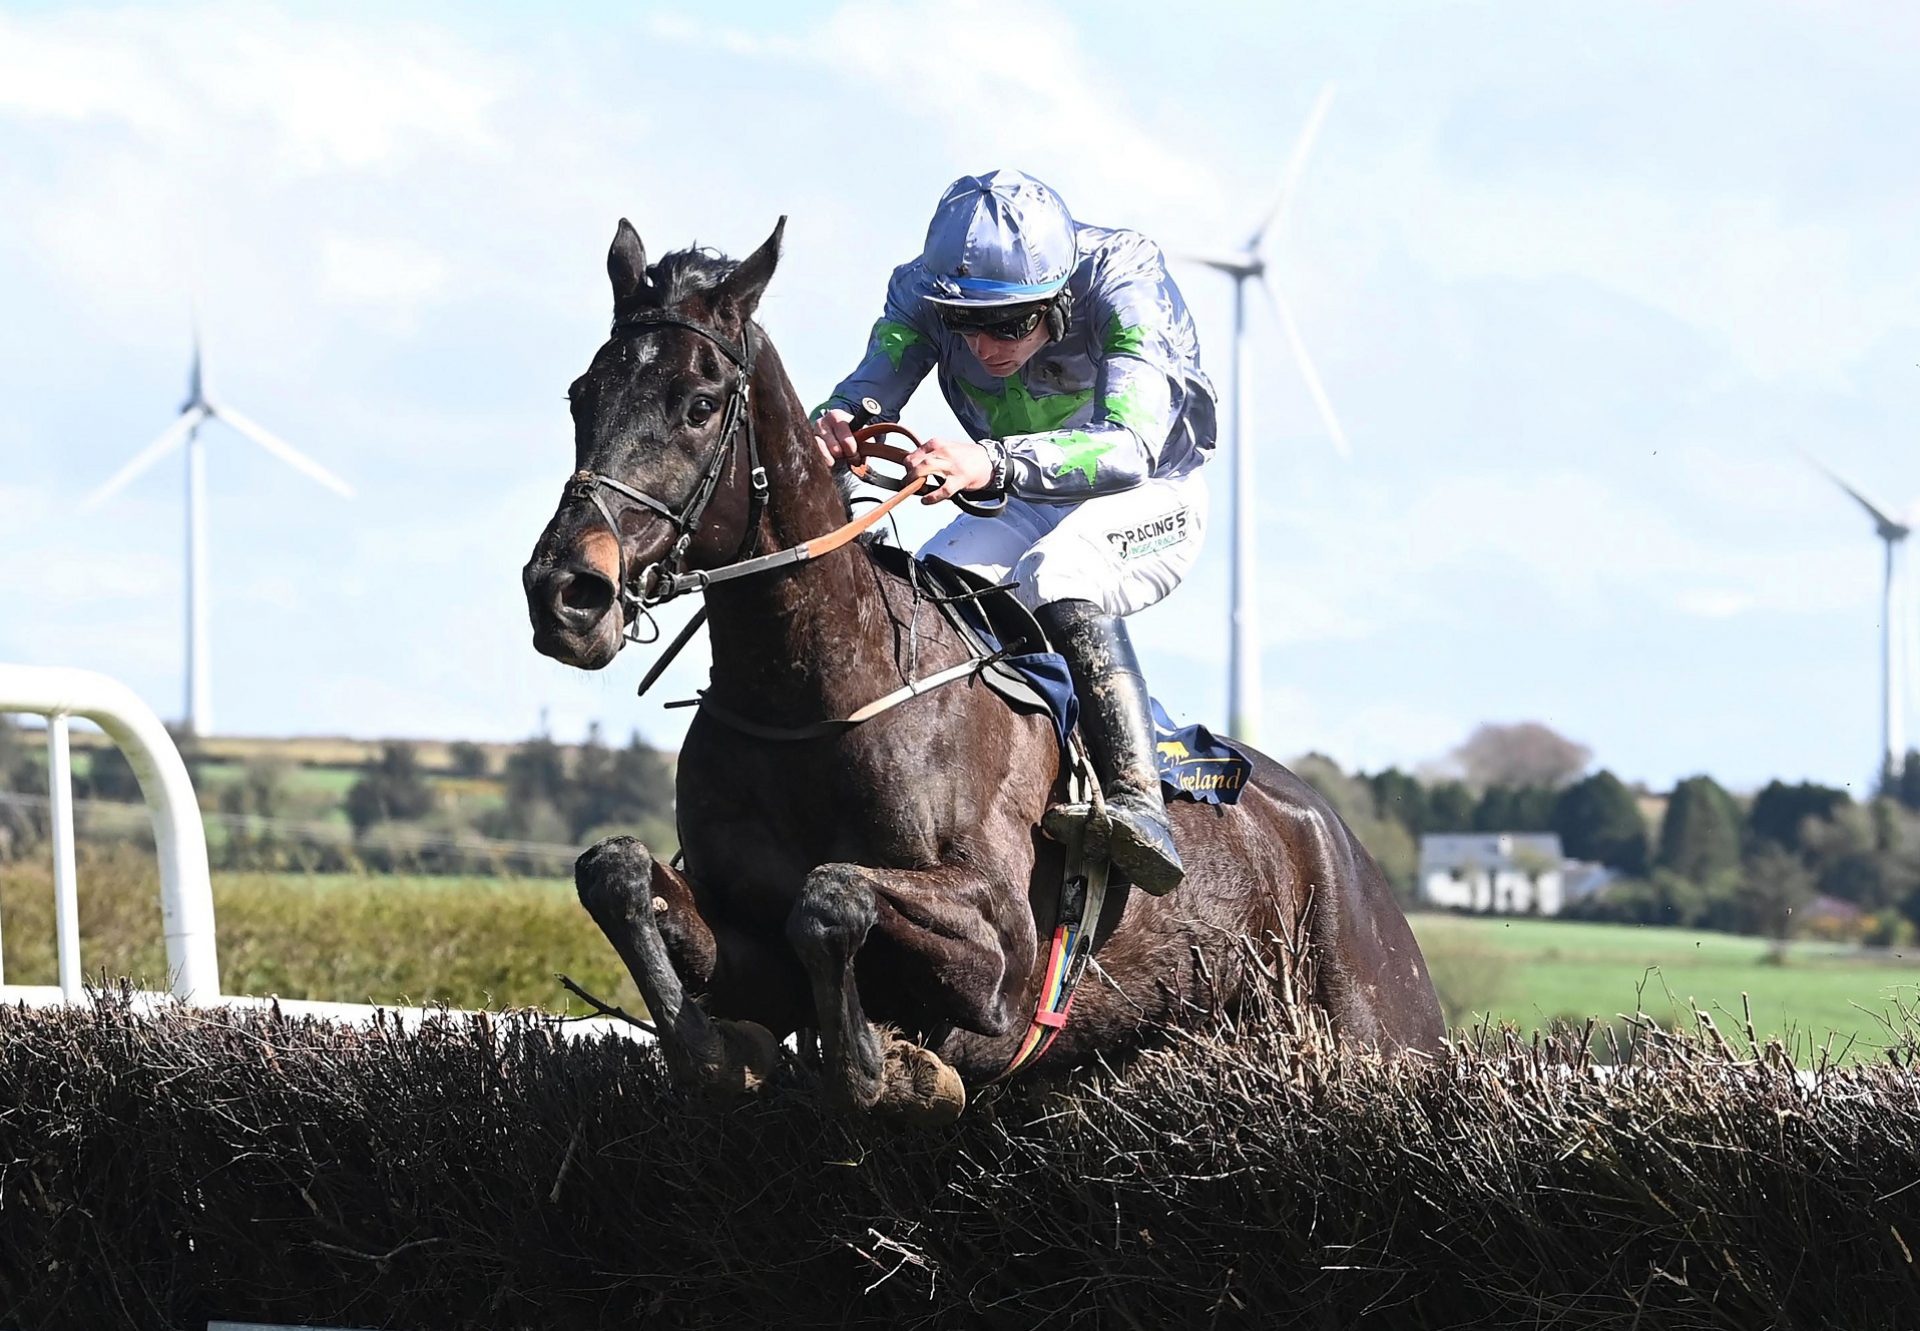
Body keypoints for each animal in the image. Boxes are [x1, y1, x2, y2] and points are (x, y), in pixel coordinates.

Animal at [526, 215, 1443, 1121]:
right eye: (580, 394)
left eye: (699, 404)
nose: (564, 591)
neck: (813, 695)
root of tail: (1356, 859)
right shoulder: (751, 952)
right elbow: (615, 872)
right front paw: (718, 1049)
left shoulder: (1002, 949)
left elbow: (831, 895)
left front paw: (886, 1066)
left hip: (1377, 1028)